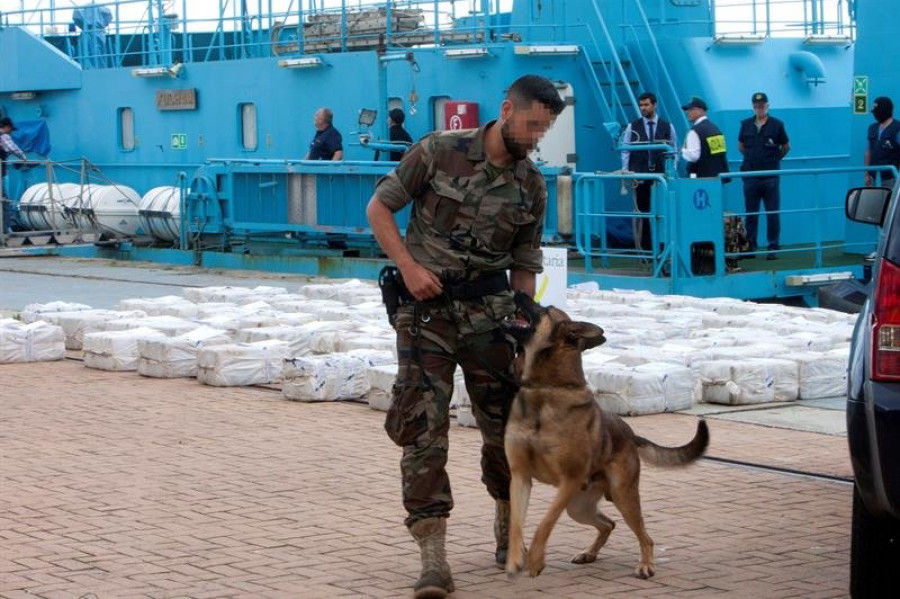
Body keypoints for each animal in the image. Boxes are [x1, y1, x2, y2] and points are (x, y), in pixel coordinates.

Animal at [502, 296, 708, 580]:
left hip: (621, 496)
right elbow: (516, 524)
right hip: (578, 507)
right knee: (608, 524)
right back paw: (589, 554)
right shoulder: (520, 477)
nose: (515, 293)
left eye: (545, 309)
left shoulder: (568, 480)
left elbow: (544, 523)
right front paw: (514, 559)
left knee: (645, 536)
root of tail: (632, 434)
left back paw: (646, 565)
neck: (544, 389)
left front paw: (535, 559)